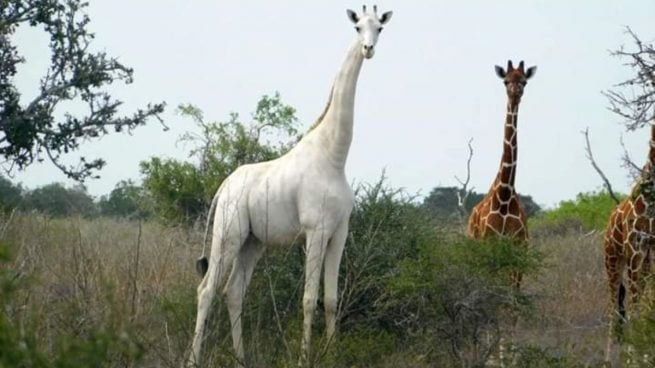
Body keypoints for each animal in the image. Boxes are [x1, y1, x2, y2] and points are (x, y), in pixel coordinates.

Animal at [190, 5, 394, 368]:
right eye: (358, 27)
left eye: (380, 28)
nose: (368, 49)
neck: (334, 157)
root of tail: (223, 187)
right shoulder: (315, 231)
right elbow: (309, 298)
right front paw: (303, 358)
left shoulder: (339, 232)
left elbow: (331, 299)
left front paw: (333, 355)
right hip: (229, 233)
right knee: (207, 290)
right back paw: (194, 359)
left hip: (253, 242)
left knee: (233, 291)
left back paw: (242, 358)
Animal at [472, 59, 540, 274]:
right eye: (505, 81)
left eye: (524, 81)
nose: (515, 92)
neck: (504, 196)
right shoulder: (490, 245)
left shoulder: (519, 248)